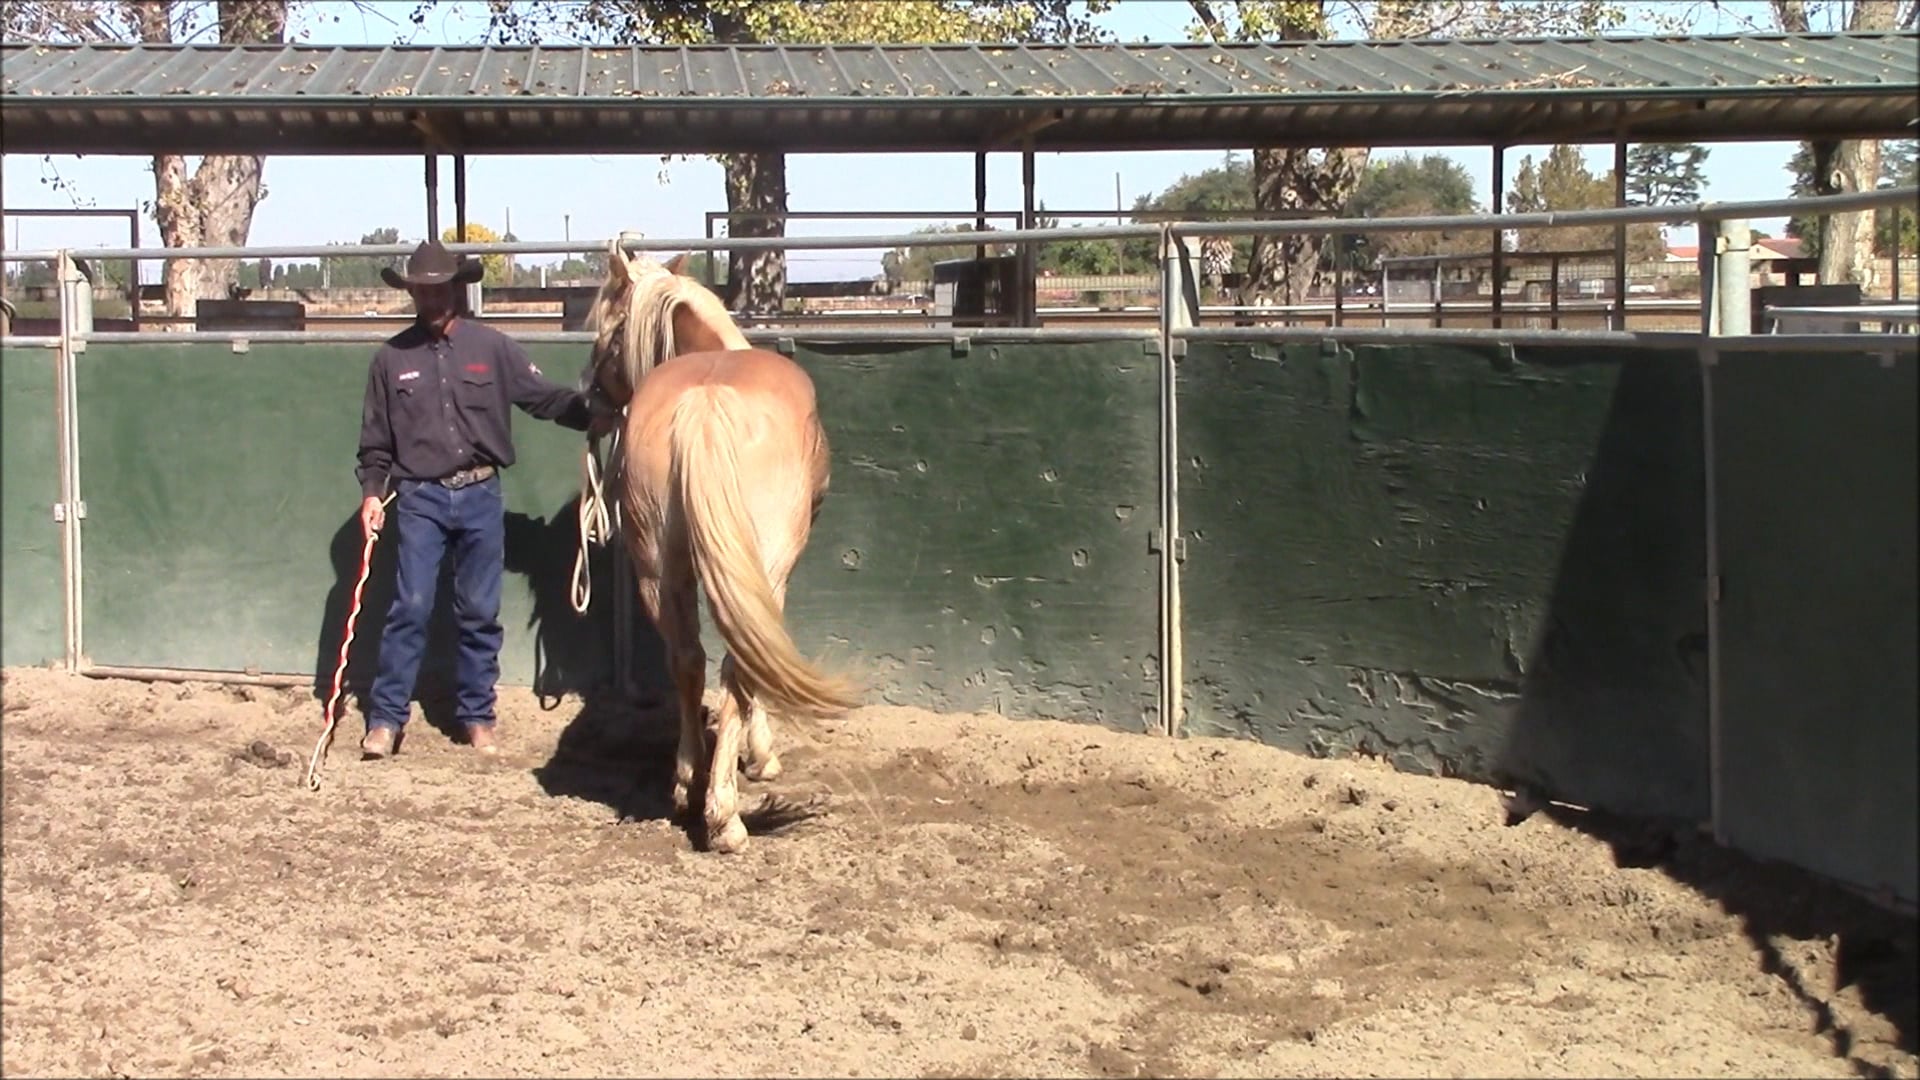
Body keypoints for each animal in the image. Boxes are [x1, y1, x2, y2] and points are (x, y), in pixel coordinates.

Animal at [580, 242, 856, 853]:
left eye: (604, 328)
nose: (590, 403)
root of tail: (705, 402)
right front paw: (761, 755)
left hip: (658, 570)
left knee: (687, 658)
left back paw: (689, 783)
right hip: (764, 566)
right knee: (737, 661)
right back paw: (724, 815)